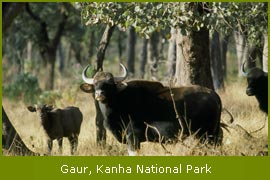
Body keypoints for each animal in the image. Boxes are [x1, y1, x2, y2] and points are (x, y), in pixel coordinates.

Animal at [80, 64, 224, 155]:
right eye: (95, 84)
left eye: (109, 84)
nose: (99, 94)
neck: (120, 101)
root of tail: (214, 95)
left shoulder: (133, 137)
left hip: (207, 134)